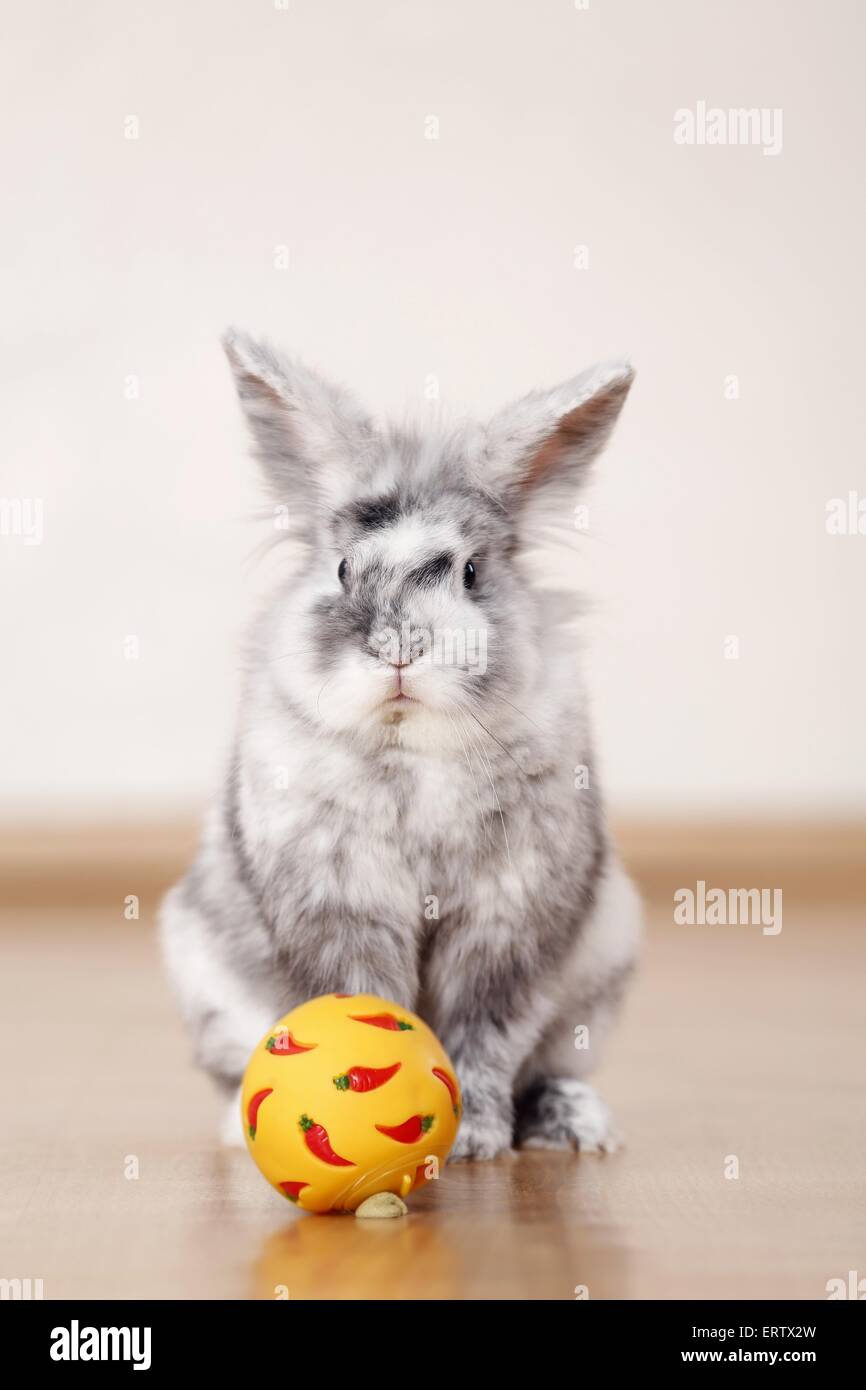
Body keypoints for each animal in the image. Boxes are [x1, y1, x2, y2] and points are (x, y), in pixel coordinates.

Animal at [159, 330, 642, 1161]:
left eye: (473, 572)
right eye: (343, 567)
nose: (398, 649)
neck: (413, 747)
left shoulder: (506, 927)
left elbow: (485, 1036)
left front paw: (475, 1140)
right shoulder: (342, 907)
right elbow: (371, 1004)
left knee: (546, 1068)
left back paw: (574, 1125)